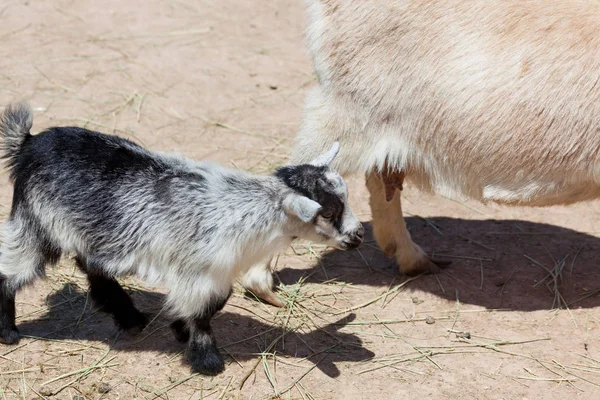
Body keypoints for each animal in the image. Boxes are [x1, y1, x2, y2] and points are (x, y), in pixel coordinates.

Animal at [0, 102, 366, 376]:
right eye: (327, 213)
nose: (359, 235)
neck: (247, 212)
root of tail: (29, 143)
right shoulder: (198, 270)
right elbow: (204, 310)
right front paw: (206, 359)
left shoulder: (207, 272)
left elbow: (213, 302)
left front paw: (178, 328)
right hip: (37, 223)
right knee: (12, 271)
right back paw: (9, 333)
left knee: (92, 264)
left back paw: (128, 316)